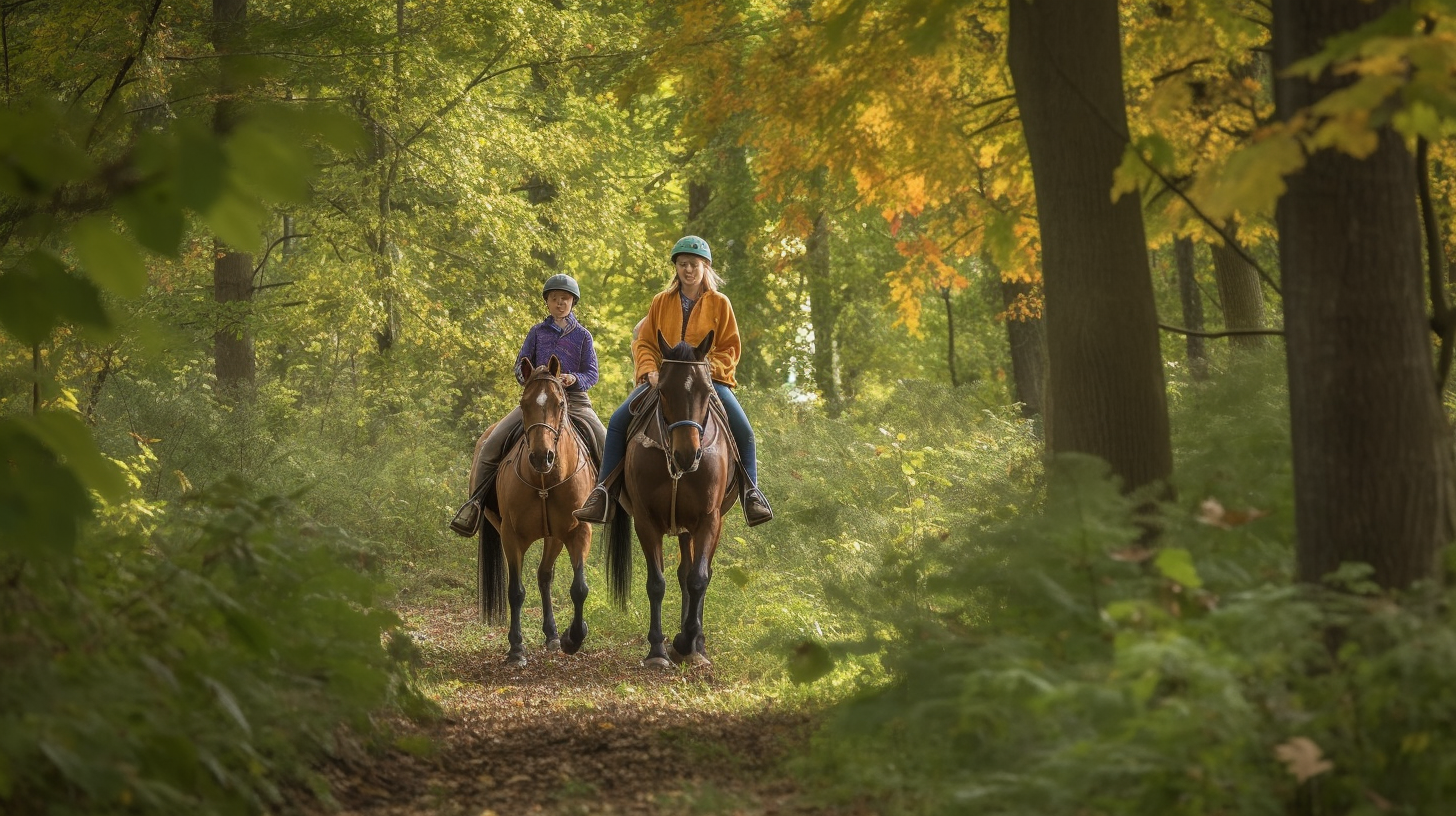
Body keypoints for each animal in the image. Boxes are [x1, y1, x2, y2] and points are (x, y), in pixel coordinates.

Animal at [474, 355, 594, 664]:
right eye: (523, 403)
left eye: (560, 403)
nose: (542, 457)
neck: (545, 480)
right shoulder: (511, 535)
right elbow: (515, 592)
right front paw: (516, 649)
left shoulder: (578, 531)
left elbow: (579, 588)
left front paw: (573, 638)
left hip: (554, 537)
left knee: (544, 575)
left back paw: (552, 635)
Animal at [605, 332, 739, 670]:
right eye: (663, 389)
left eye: (706, 390)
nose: (687, 454)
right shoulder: (645, 520)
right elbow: (657, 583)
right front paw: (658, 650)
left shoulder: (709, 519)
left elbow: (698, 580)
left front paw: (686, 643)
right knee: (680, 574)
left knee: (695, 575)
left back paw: (697, 644)